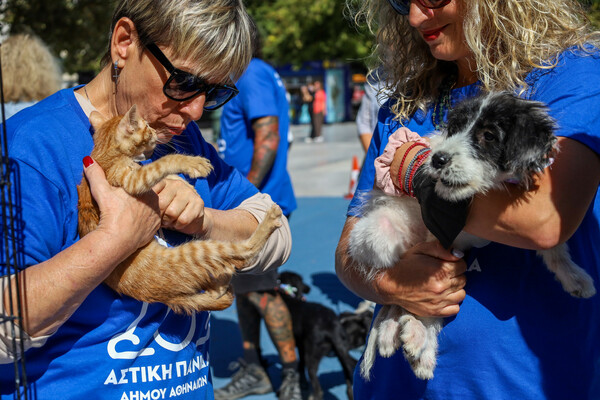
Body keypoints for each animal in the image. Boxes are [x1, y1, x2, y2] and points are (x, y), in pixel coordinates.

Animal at [78, 104, 284, 314]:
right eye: (147, 126)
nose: (154, 131)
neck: (104, 150)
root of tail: (168, 298)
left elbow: (162, 173)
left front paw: (183, 185)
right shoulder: (131, 180)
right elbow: (164, 162)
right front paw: (192, 163)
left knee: (219, 287)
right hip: (198, 251)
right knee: (243, 254)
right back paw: (270, 219)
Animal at [278, 270, 358, 398]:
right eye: (302, 281)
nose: (309, 288)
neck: (289, 295)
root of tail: (332, 327)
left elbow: (299, 363)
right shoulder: (301, 345)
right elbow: (301, 364)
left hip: (313, 357)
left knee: (318, 390)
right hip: (341, 353)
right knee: (349, 386)